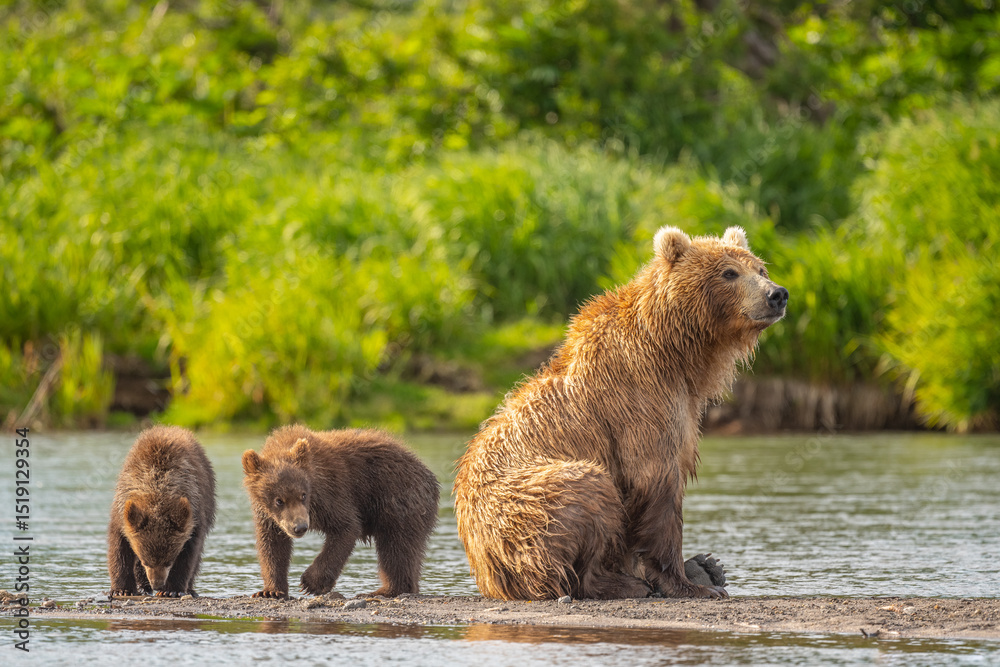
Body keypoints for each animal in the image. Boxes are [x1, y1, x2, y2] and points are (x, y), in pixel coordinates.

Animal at [108, 425, 216, 598]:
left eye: (169, 561)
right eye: (145, 560)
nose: (157, 584)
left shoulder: (194, 515)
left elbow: (189, 555)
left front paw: (171, 590)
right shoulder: (122, 512)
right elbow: (119, 548)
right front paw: (122, 589)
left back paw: (189, 589)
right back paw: (143, 586)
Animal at [242, 425, 440, 599]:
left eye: (303, 495)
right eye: (279, 500)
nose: (300, 527)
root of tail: (428, 474)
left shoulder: (331, 492)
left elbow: (346, 527)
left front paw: (311, 583)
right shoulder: (268, 516)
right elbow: (272, 546)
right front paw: (270, 591)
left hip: (398, 500)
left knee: (397, 548)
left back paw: (384, 591)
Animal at [453, 225, 787, 600]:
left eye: (761, 268)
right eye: (729, 273)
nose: (777, 294)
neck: (677, 352)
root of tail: (484, 570)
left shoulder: (682, 405)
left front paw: (697, 573)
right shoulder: (639, 399)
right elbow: (654, 480)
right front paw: (686, 584)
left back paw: (705, 567)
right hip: (524, 508)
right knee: (586, 493)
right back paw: (623, 583)